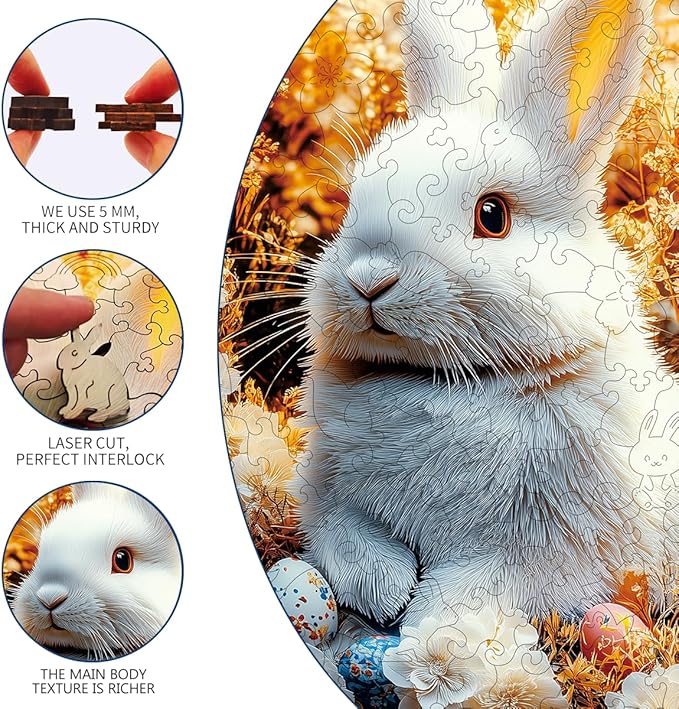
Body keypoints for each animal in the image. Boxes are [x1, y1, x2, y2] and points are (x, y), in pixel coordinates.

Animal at [291, 0, 679, 625]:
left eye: (492, 215)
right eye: (354, 201)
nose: (369, 278)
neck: (444, 382)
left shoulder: (536, 554)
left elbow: (466, 593)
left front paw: (425, 632)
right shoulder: (325, 492)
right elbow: (342, 534)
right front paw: (383, 589)